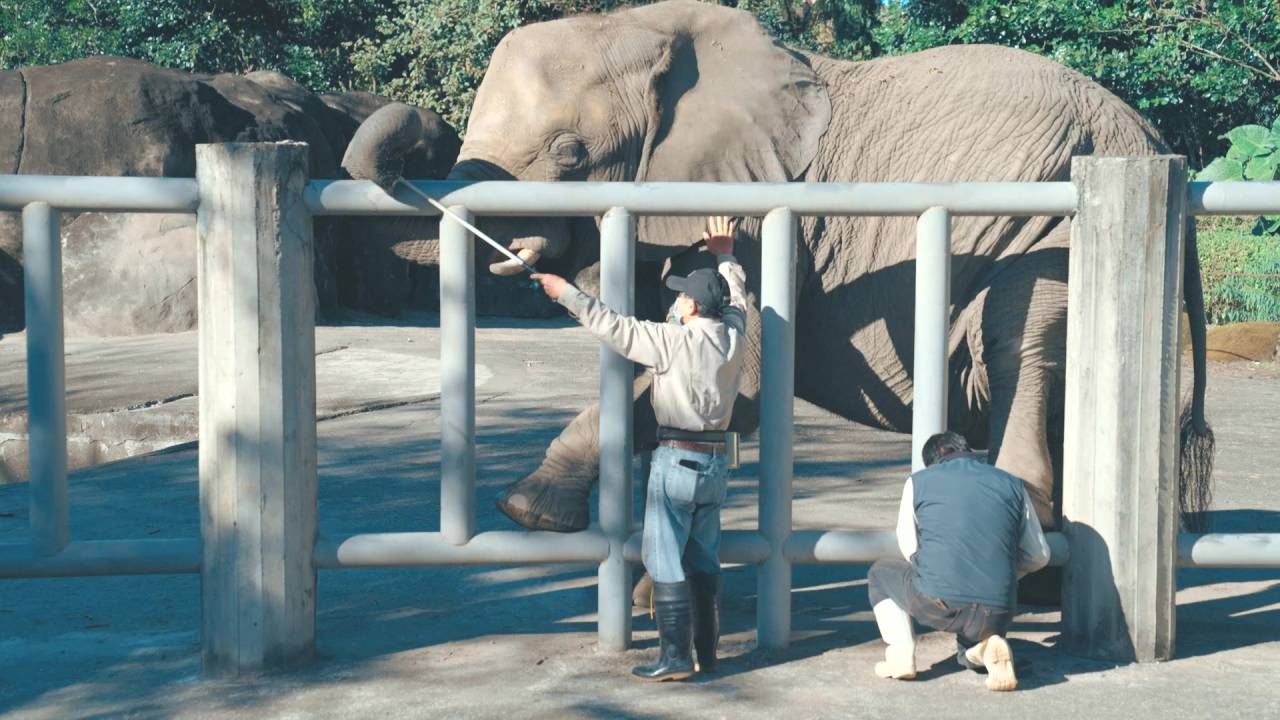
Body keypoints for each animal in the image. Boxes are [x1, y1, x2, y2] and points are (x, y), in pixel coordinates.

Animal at [345, 0, 1213, 535]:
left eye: (570, 154)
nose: (416, 132)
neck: (642, 25)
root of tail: (1154, 142)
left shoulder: (768, 218)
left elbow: (740, 376)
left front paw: (524, 515)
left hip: (1045, 232)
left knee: (1018, 345)